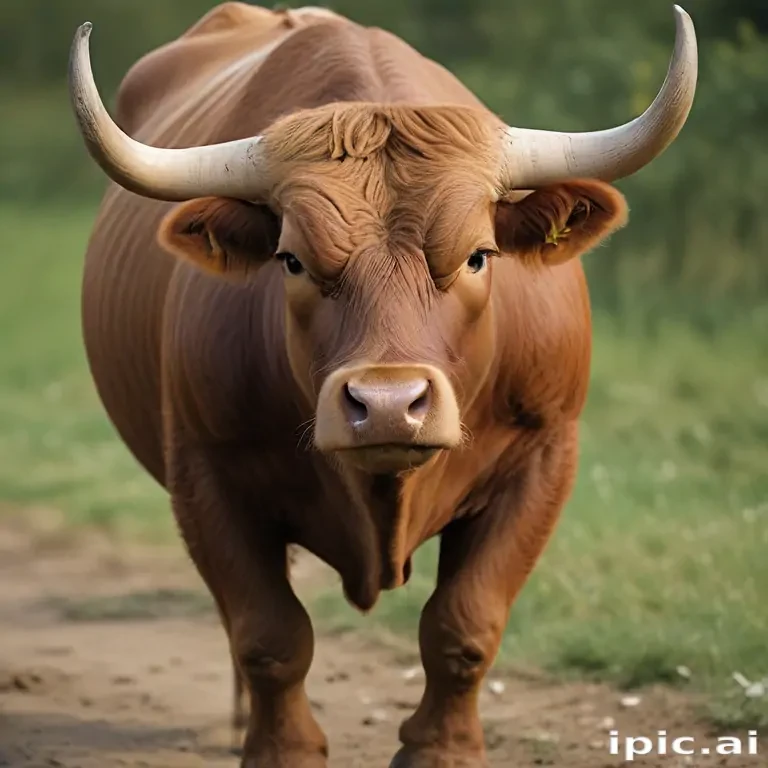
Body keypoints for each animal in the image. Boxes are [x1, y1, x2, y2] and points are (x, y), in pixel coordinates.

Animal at [67, 4, 697, 766]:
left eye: (479, 255)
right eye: (292, 260)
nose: (389, 406)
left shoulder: (544, 459)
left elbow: (463, 624)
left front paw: (442, 749)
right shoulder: (204, 473)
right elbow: (268, 634)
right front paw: (282, 749)